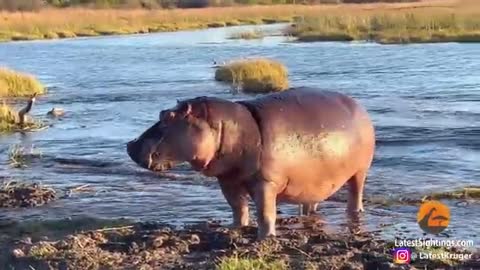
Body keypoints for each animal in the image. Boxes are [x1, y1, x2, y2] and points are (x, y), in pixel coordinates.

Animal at [127, 86, 376, 238]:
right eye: (162, 112)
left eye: (167, 116)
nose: (130, 144)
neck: (225, 127)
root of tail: (359, 106)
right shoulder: (227, 180)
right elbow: (238, 208)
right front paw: (236, 229)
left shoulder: (265, 182)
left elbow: (265, 213)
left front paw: (266, 237)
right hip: (313, 181)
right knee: (311, 201)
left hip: (360, 170)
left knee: (356, 192)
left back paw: (356, 212)